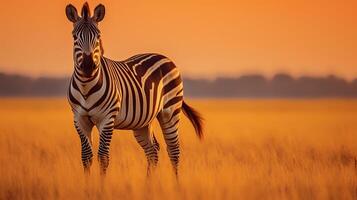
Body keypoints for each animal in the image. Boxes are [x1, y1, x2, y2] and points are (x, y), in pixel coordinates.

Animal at [64, 1, 203, 177]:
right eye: (74, 37)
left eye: (98, 36)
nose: (88, 66)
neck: (86, 86)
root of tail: (165, 57)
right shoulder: (79, 119)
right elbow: (86, 157)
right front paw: (87, 184)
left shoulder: (107, 119)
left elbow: (103, 158)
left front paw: (100, 185)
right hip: (142, 122)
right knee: (152, 151)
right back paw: (148, 184)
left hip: (170, 111)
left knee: (173, 151)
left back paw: (175, 183)